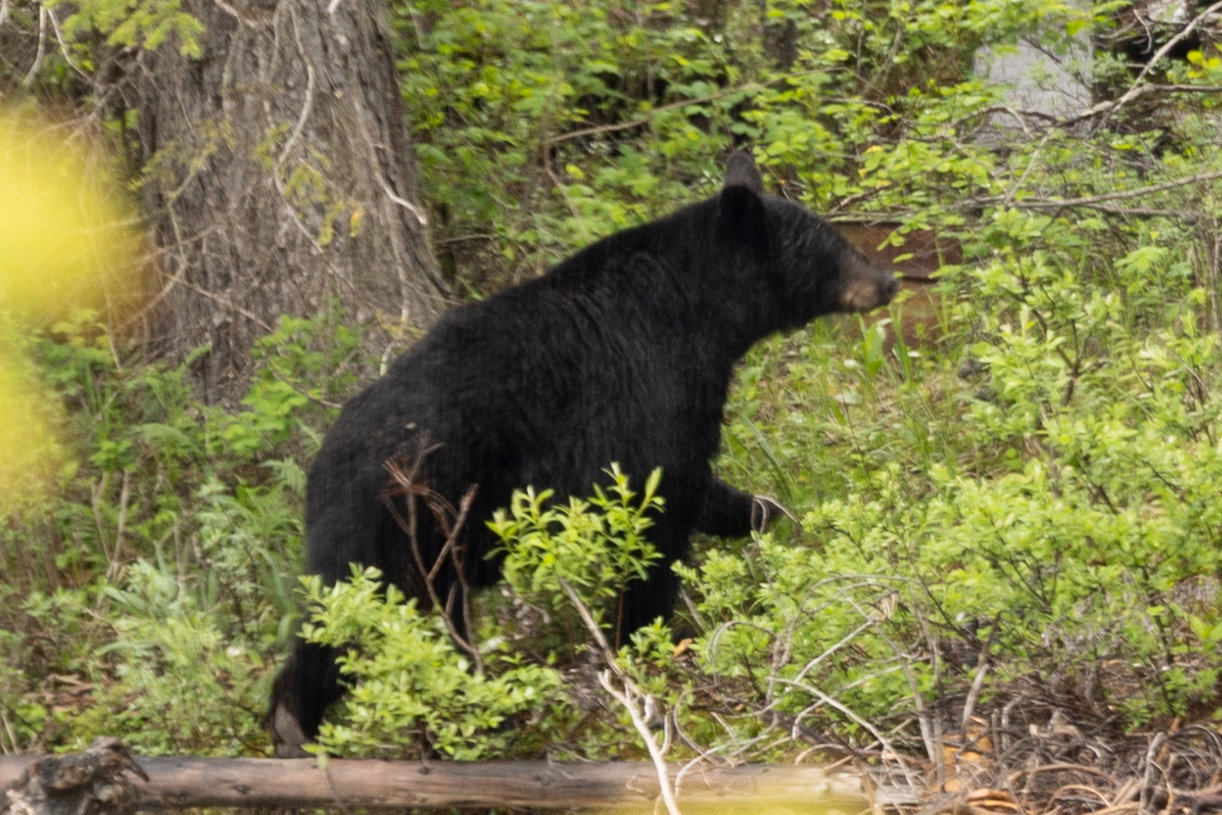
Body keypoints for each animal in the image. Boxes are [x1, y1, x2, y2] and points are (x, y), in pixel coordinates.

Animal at [269, 152, 898, 756]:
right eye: (832, 246)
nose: (888, 280)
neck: (698, 308)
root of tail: (327, 463)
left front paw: (766, 513)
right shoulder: (652, 390)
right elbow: (663, 499)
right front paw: (649, 637)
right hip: (405, 522)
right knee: (361, 614)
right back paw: (305, 719)